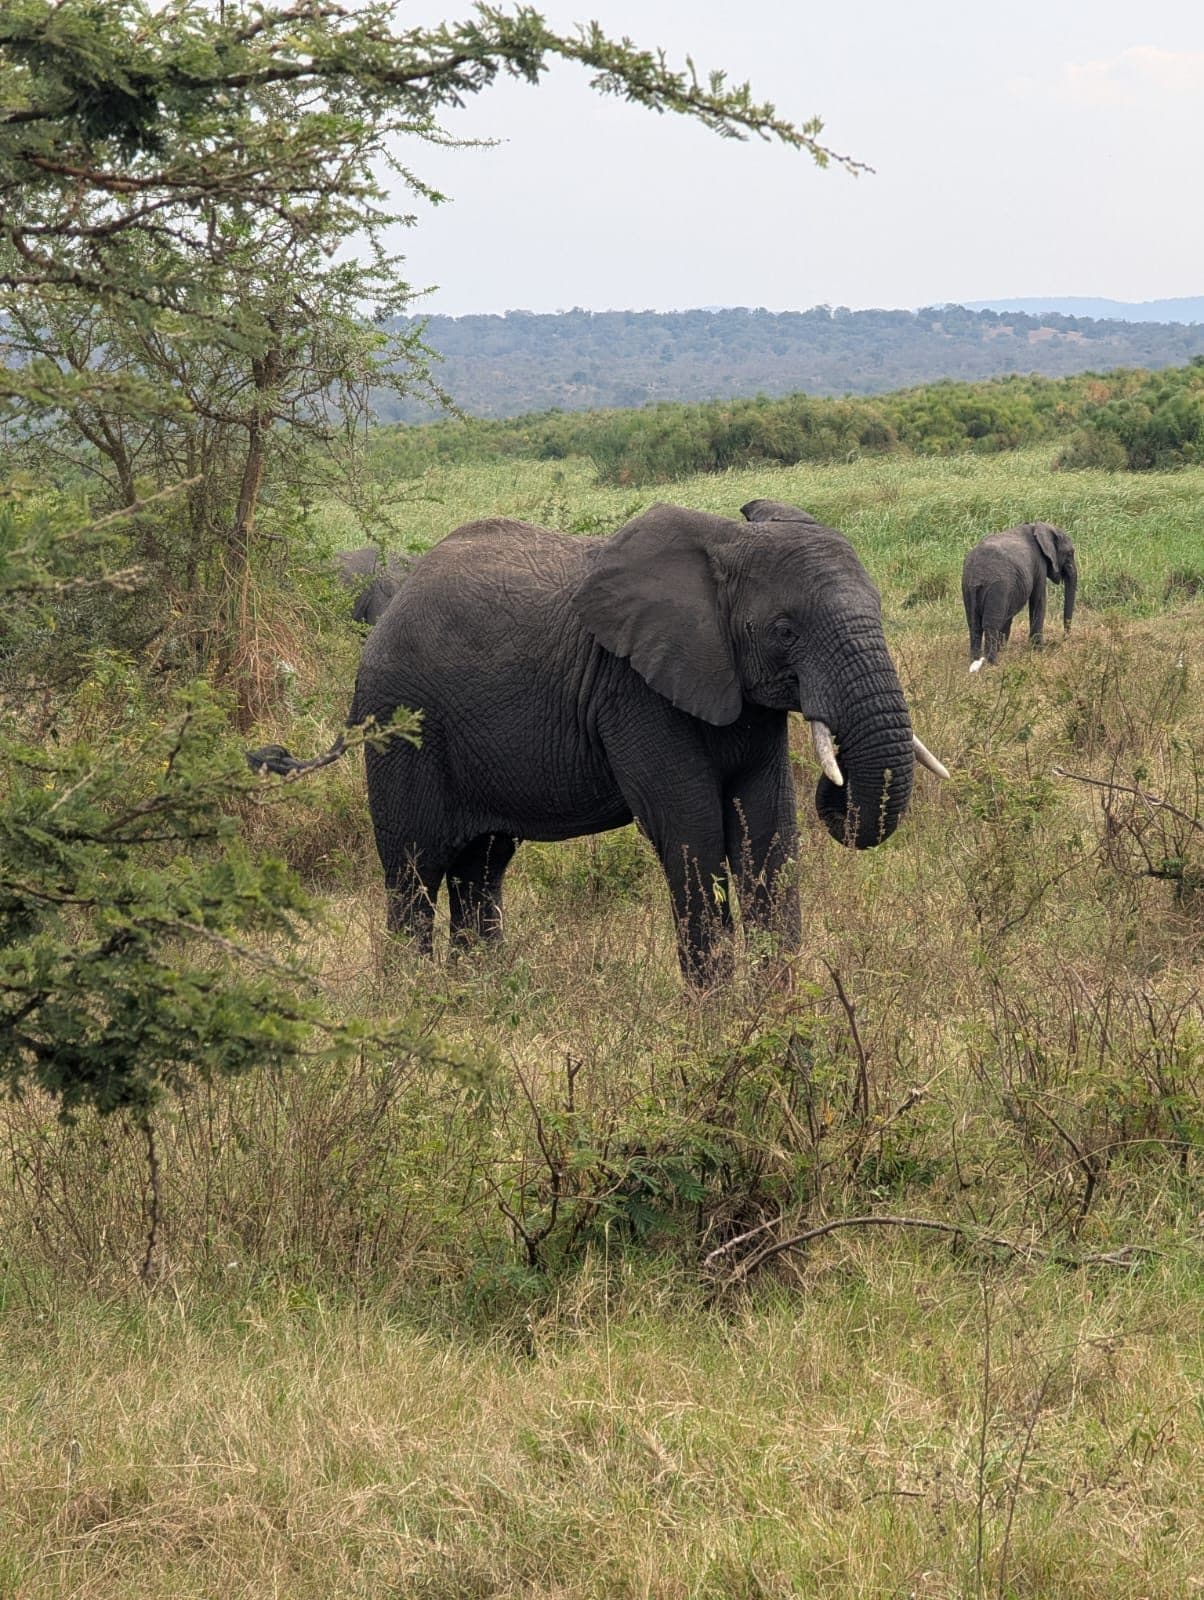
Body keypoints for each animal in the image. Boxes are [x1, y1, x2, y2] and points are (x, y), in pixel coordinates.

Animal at [251, 501, 948, 985]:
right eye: (784, 630)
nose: (838, 791)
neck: (726, 544)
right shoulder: (633, 690)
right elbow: (691, 831)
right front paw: (719, 1019)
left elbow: (768, 828)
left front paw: (779, 1013)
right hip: (401, 722)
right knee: (413, 871)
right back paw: (413, 1000)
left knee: (482, 869)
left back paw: (480, 995)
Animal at [962, 523, 1078, 671]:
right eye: (1070, 553)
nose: (1064, 638)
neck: (1038, 525)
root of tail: (977, 574)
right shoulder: (1039, 563)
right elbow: (1038, 600)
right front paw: (1039, 650)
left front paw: (1003, 649)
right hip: (997, 586)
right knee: (990, 624)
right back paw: (992, 664)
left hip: (968, 587)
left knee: (974, 624)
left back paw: (975, 661)